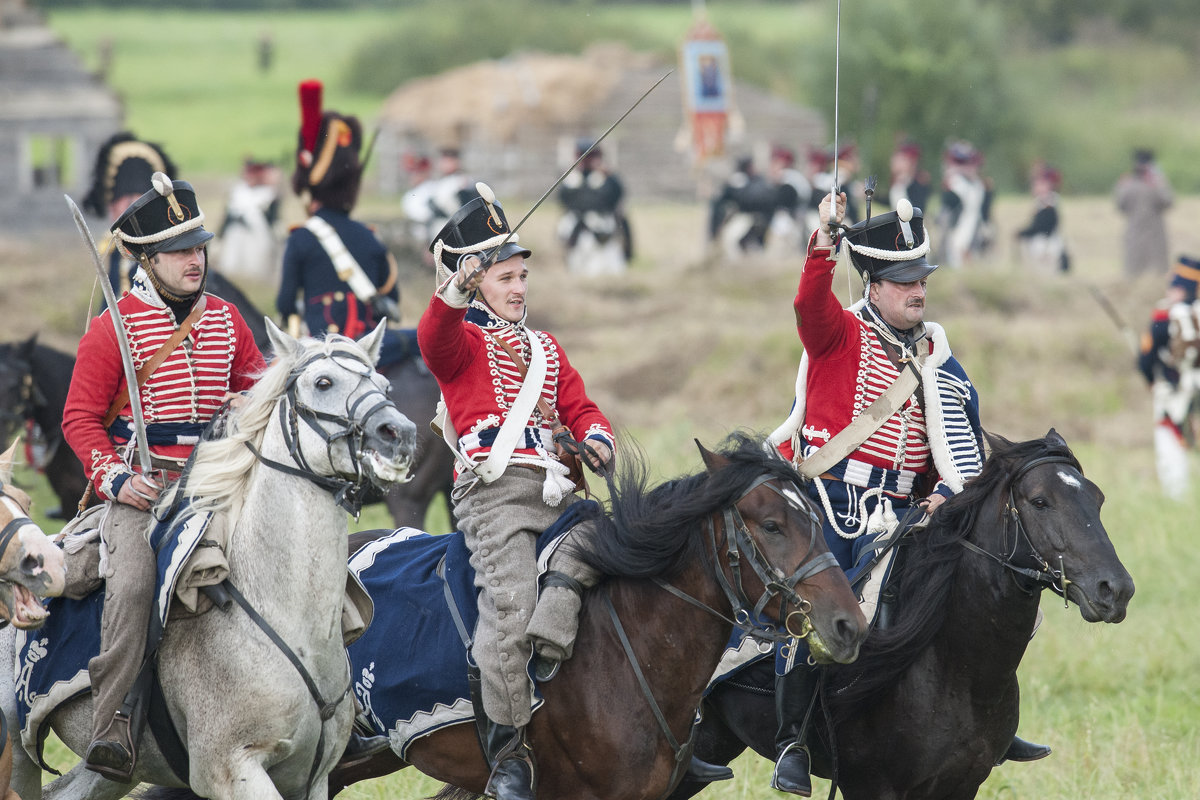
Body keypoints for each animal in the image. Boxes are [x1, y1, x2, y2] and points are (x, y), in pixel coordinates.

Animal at [1, 321, 417, 800]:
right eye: (323, 382)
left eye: (383, 384)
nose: (400, 434)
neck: (290, 617)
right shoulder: (230, 768)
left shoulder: (311, 779)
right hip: (16, 753)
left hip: (107, 770)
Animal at [672, 431, 1137, 800]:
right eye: (1040, 502)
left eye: (1097, 499)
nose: (1115, 590)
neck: (956, 667)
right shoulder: (872, 787)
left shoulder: (961, 784)